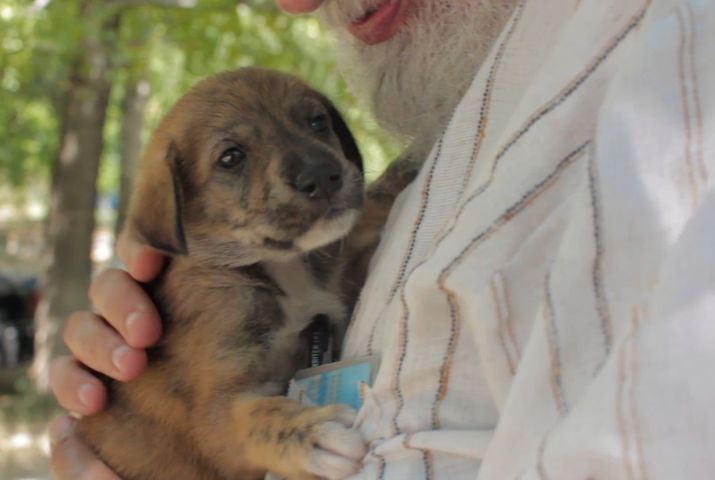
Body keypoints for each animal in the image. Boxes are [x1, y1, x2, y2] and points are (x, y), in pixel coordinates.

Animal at [77, 68, 420, 480]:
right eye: (231, 157)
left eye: (317, 122)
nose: (323, 176)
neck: (284, 269)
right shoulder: (216, 411)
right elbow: (260, 418)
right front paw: (316, 433)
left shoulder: (339, 275)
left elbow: (367, 216)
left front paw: (406, 166)